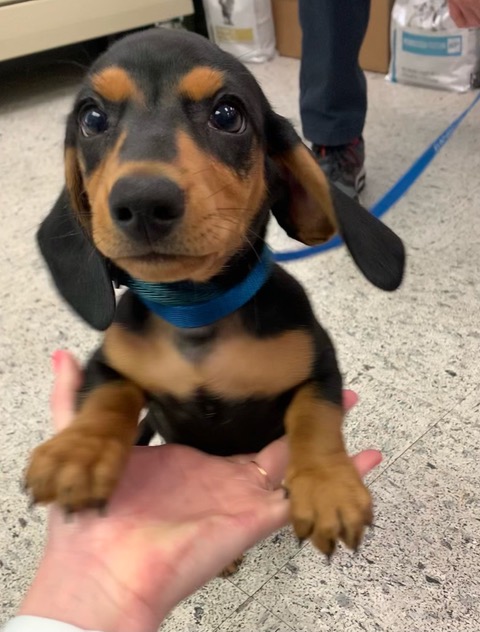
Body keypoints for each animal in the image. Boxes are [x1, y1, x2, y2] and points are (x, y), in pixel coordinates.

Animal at [25, 28, 405, 558]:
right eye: (91, 118)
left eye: (227, 114)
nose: (143, 202)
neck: (195, 312)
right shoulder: (110, 363)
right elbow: (107, 395)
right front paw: (78, 452)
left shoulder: (320, 367)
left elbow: (315, 416)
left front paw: (328, 486)